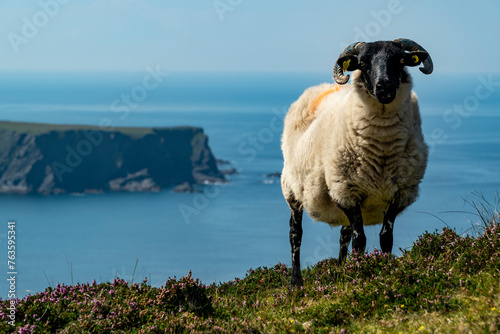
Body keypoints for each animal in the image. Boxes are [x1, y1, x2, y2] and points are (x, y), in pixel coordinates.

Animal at [282, 37, 434, 286]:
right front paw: (358, 272)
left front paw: (382, 269)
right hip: (292, 189)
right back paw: (296, 282)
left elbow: (385, 237)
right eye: (363, 63)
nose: (384, 87)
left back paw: (339, 270)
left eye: (400, 60)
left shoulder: (401, 194)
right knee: (296, 234)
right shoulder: (345, 191)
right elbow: (359, 240)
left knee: (343, 235)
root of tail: (319, 88)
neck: (382, 146)